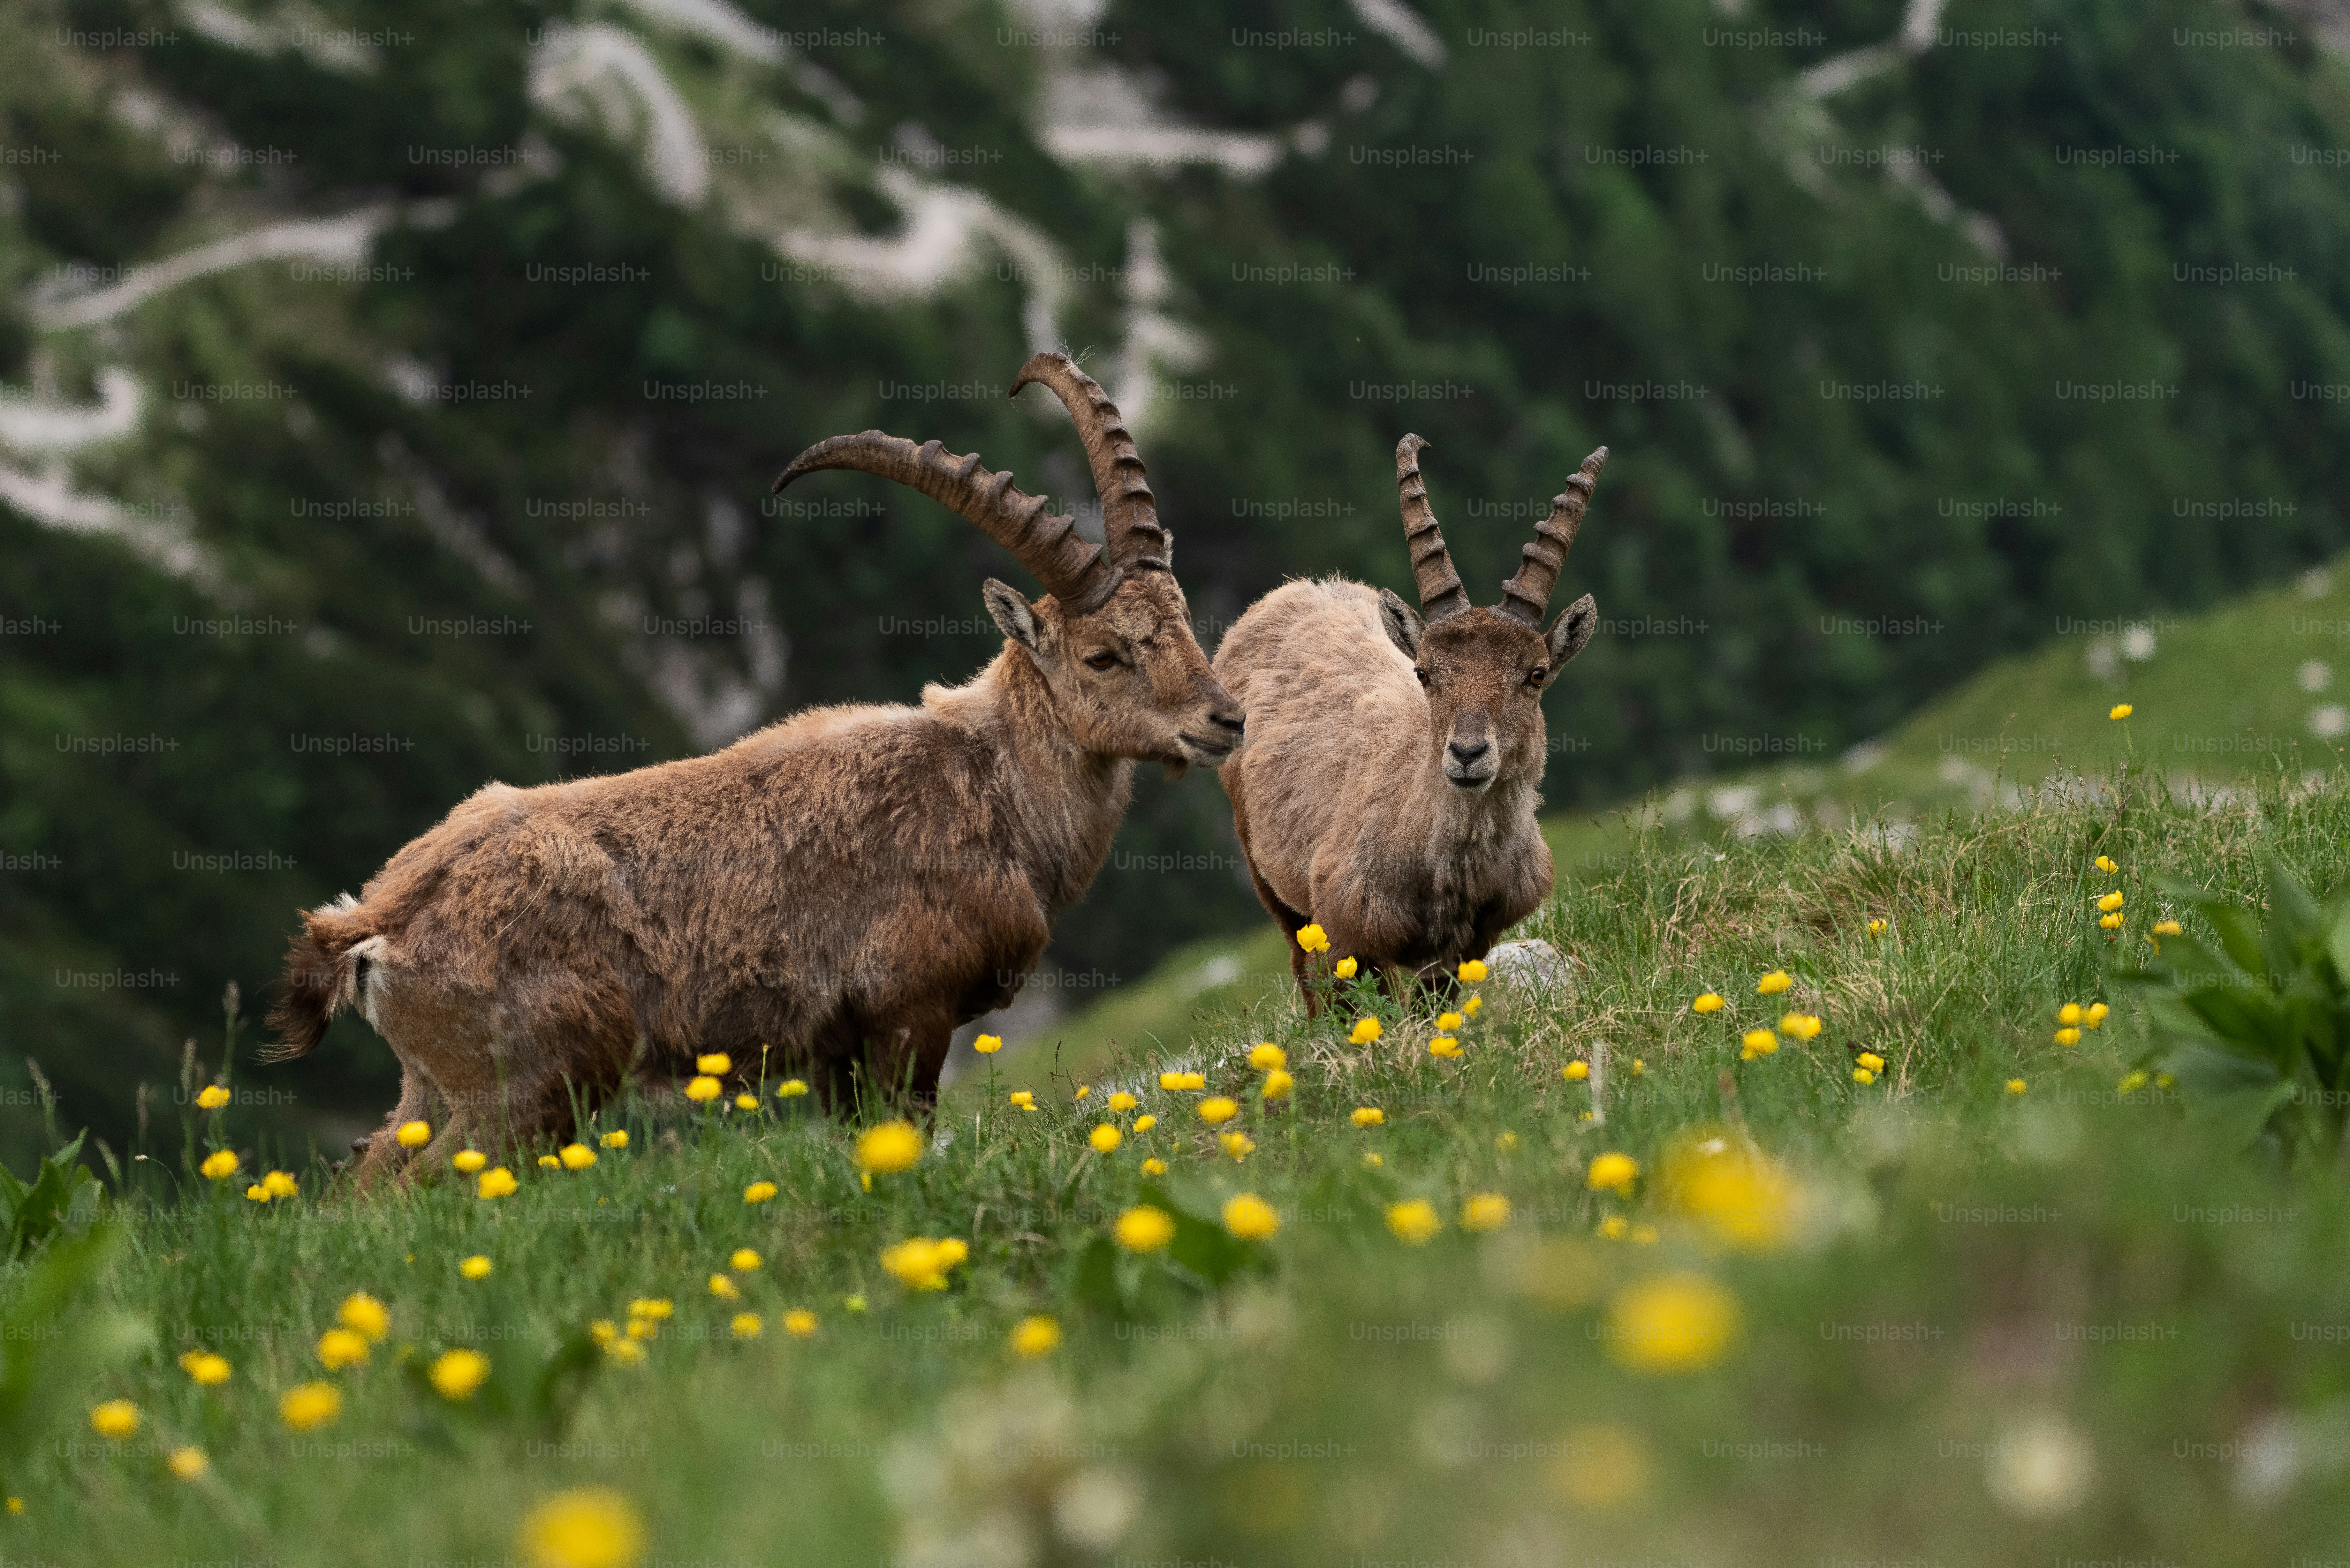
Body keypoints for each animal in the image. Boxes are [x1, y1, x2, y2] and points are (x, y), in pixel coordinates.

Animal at [266, 353, 1244, 1182]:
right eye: (1103, 656)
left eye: (1183, 618)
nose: (1225, 719)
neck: (993, 790)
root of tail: (373, 923)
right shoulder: (908, 1013)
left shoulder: (839, 1047)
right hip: (528, 1085)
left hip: (435, 1086)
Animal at [1212, 434, 1603, 1002]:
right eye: (1423, 672)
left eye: (1536, 675)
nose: (1467, 754)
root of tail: (1291, 592)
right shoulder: (1344, 936)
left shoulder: (1461, 952)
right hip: (1273, 883)